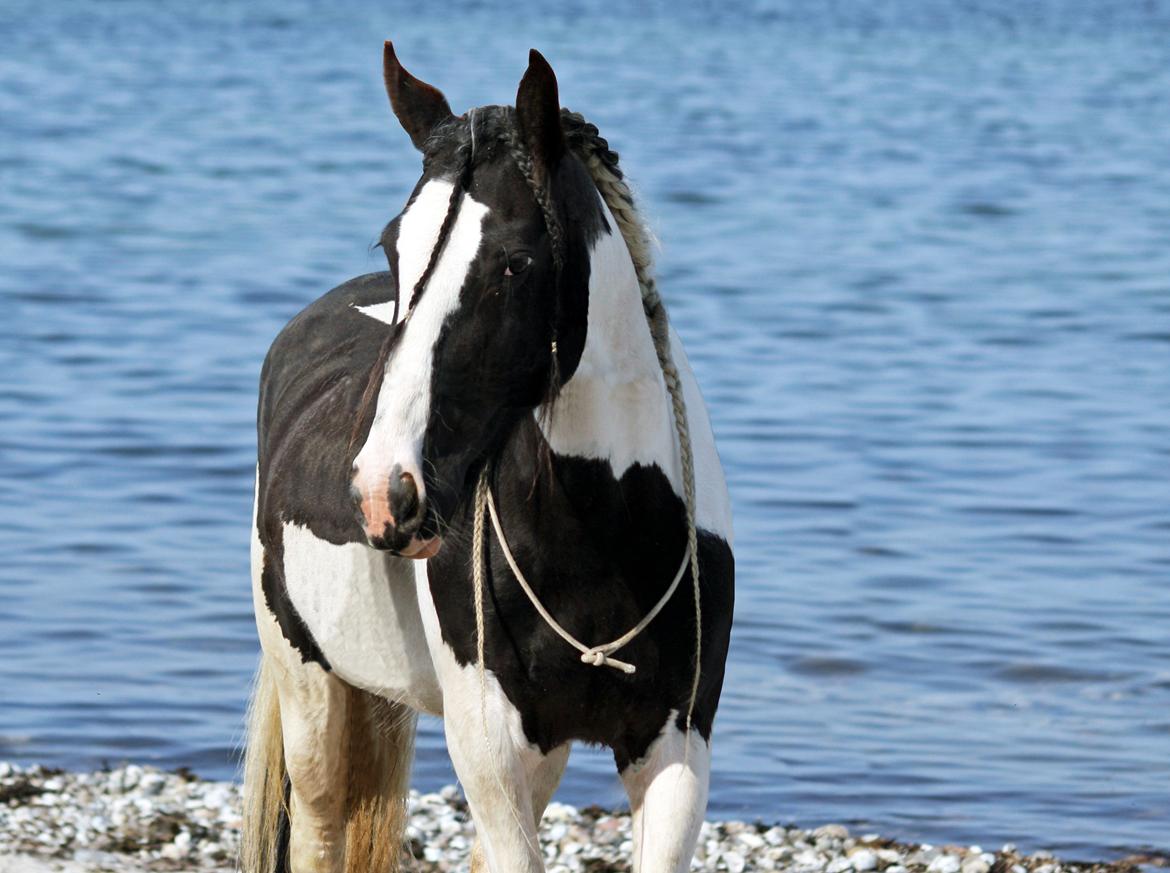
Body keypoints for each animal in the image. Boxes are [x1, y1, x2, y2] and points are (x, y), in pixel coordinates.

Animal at [242, 42, 734, 870]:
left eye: (513, 263)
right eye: (393, 246)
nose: (384, 493)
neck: (604, 530)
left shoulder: (676, 751)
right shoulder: (489, 746)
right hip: (309, 682)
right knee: (318, 823)